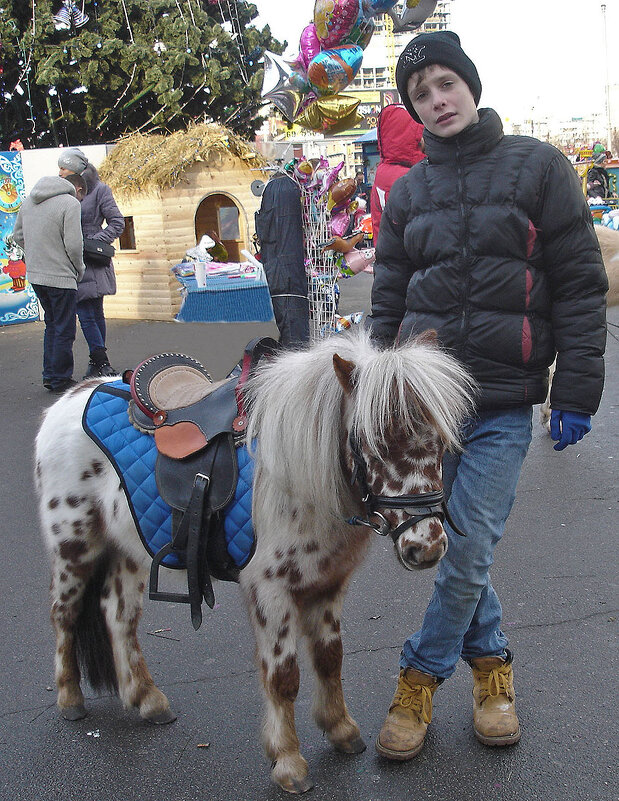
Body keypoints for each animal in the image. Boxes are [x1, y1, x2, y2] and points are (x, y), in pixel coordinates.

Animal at [34, 326, 478, 792]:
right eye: (375, 442)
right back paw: (70, 698)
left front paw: (340, 729)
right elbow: (283, 677)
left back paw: (146, 699)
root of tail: (70, 400)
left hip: (129, 551)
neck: (298, 474)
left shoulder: (327, 584)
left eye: (440, 442)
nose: (426, 547)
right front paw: (288, 762)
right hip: (74, 548)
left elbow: (330, 658)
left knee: (118, 616)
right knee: (64, 614)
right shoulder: (271, 591)